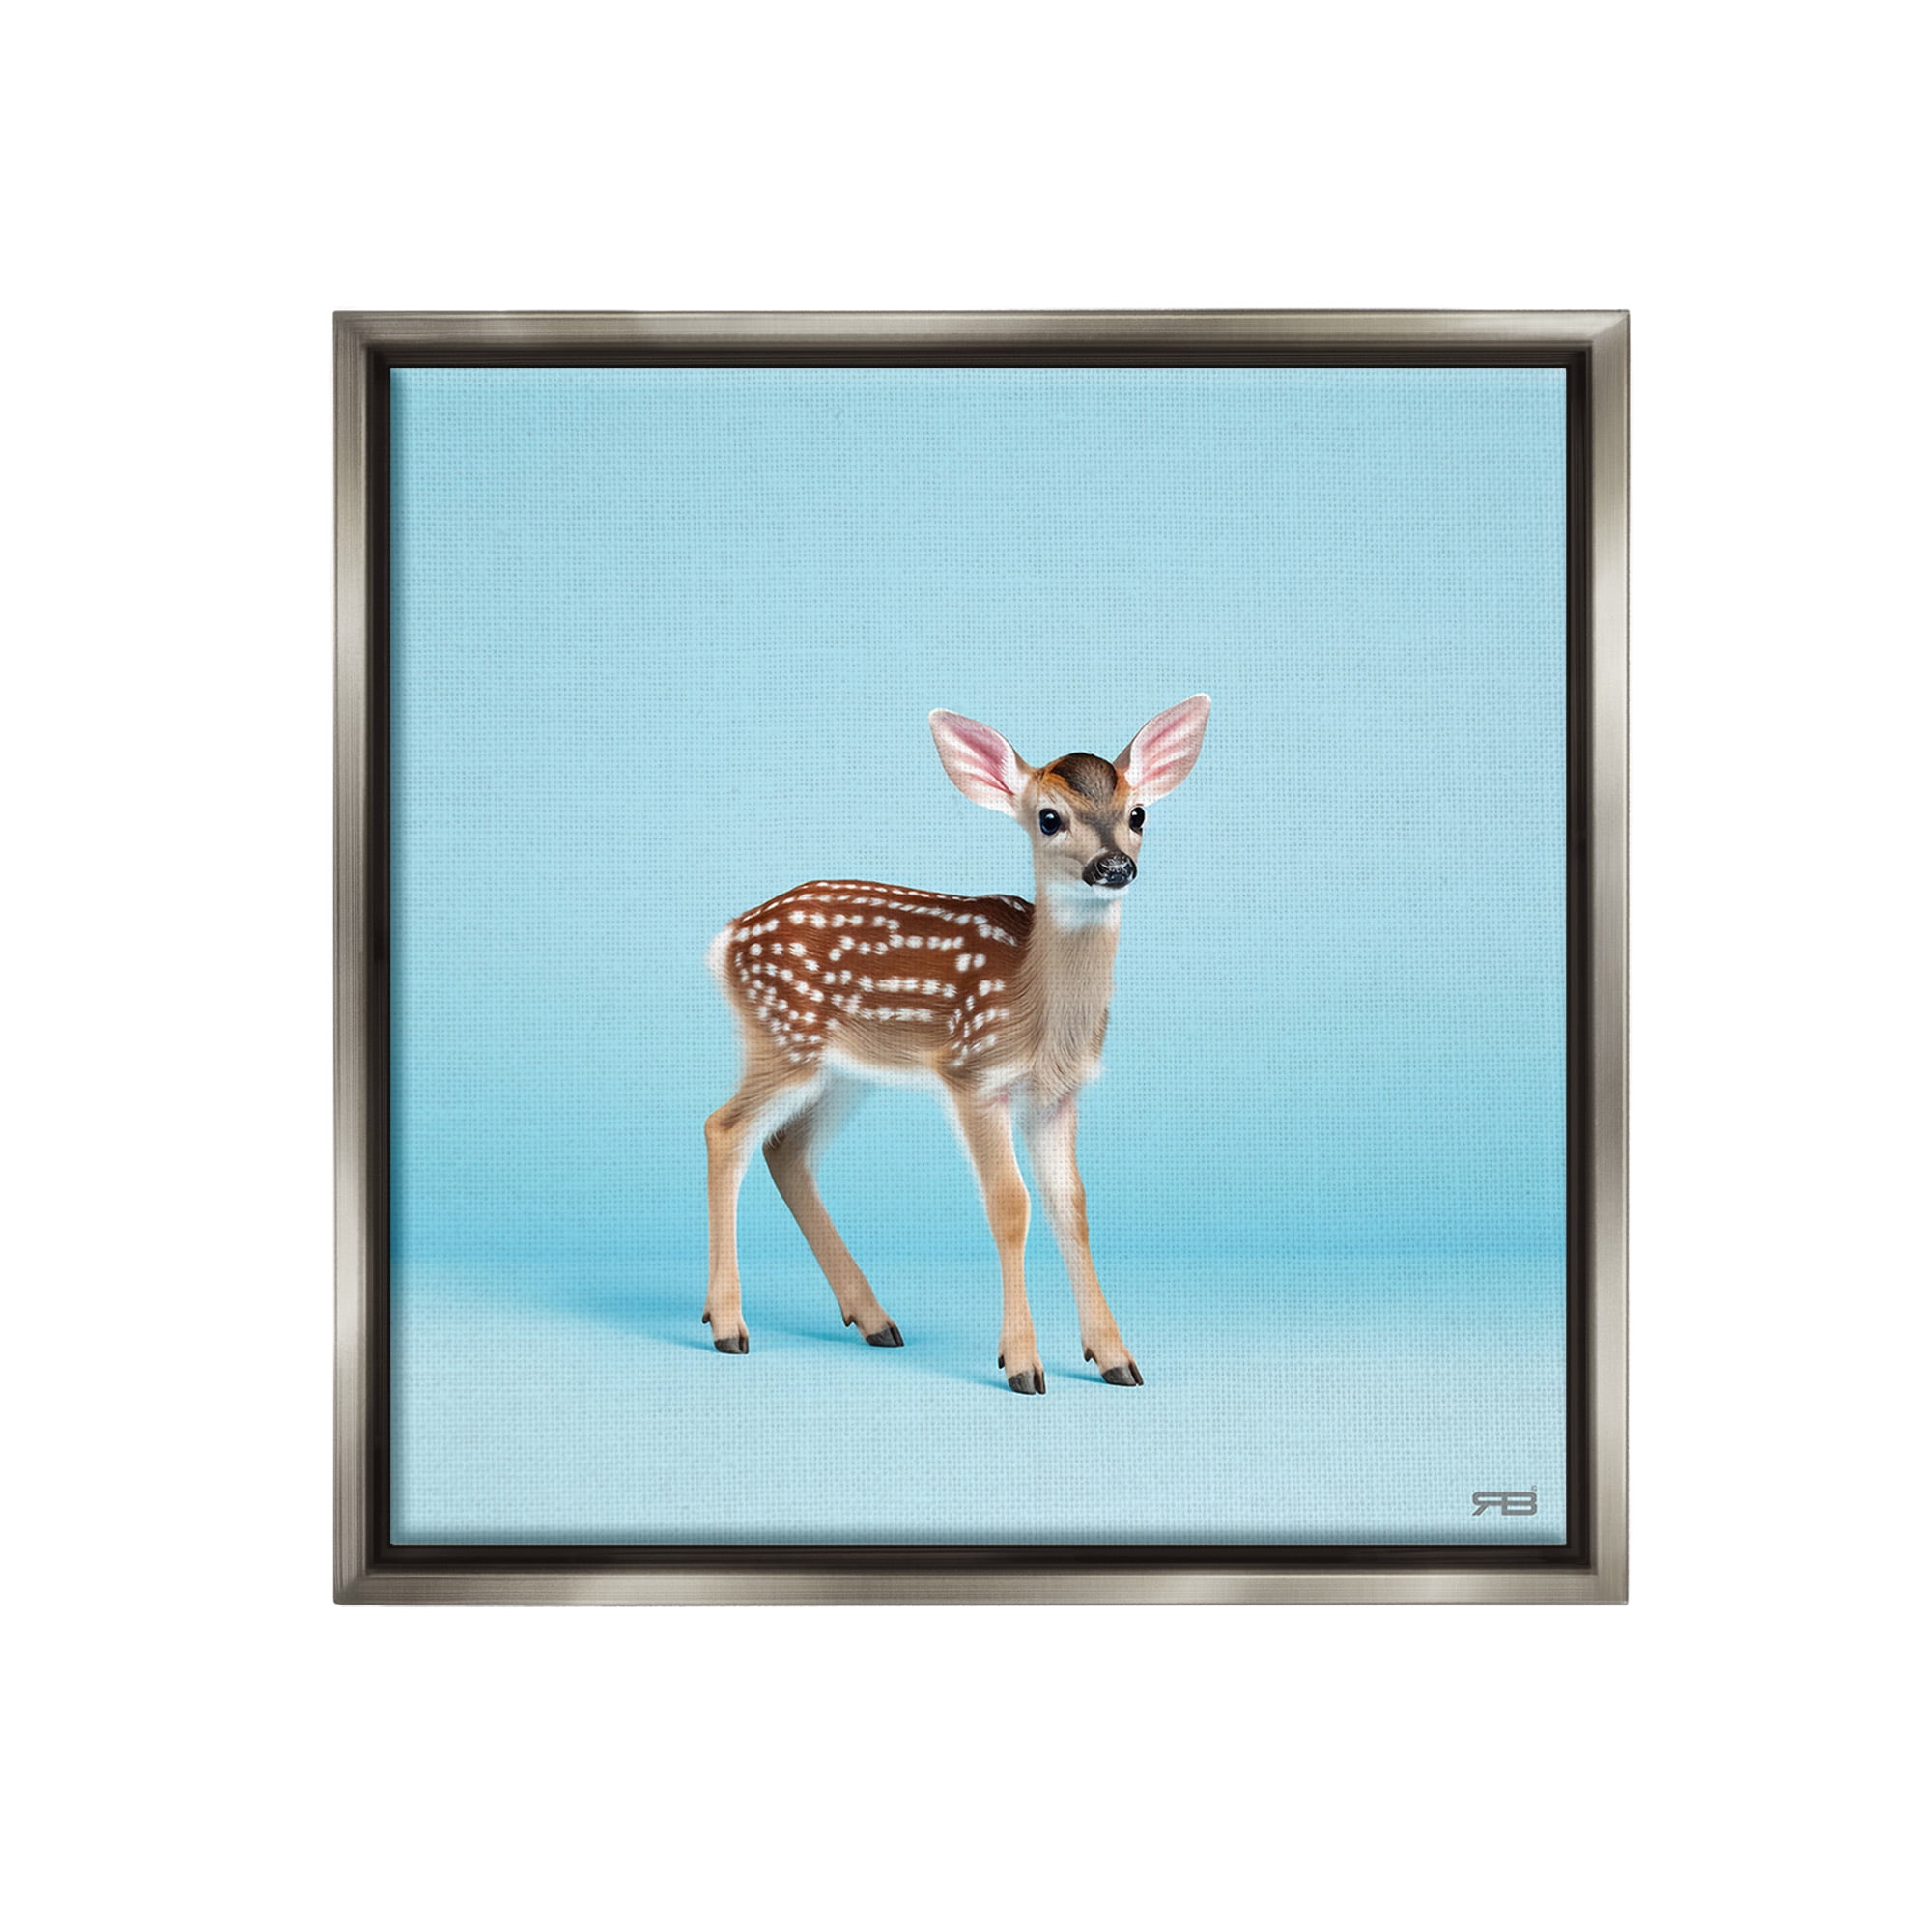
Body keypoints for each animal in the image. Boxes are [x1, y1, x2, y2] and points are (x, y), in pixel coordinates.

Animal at [701, 696, 1211, 1394]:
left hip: (844, 1071)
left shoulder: (1057, 1095)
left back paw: (874, 1320)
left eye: (1138, 813)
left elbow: (1071, 1207)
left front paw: (1115, 1358)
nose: (1113, 867)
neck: (1037, 1011)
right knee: (724, 1130)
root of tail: (725, 939)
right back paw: (728, 1326)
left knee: (786, 1150)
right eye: (1048, 818)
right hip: (783, 1039)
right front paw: (1022, 1363)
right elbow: (1011, 1205)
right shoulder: (974, 1073)